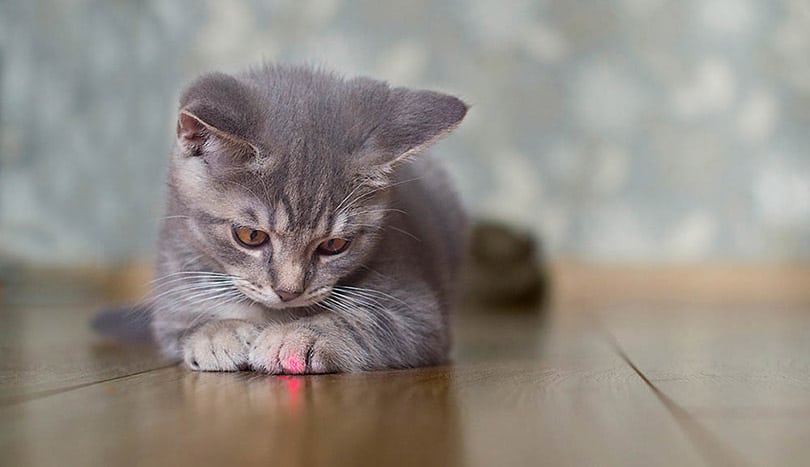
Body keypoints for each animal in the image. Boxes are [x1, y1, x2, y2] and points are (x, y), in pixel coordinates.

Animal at [152, 64, 468, 374]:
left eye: (334, 245)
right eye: (251, 236)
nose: (288, 292)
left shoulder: (418, 313)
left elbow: (363, 321)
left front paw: (296, 336)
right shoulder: (172, 295)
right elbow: (186, 324)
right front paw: (217, 333)